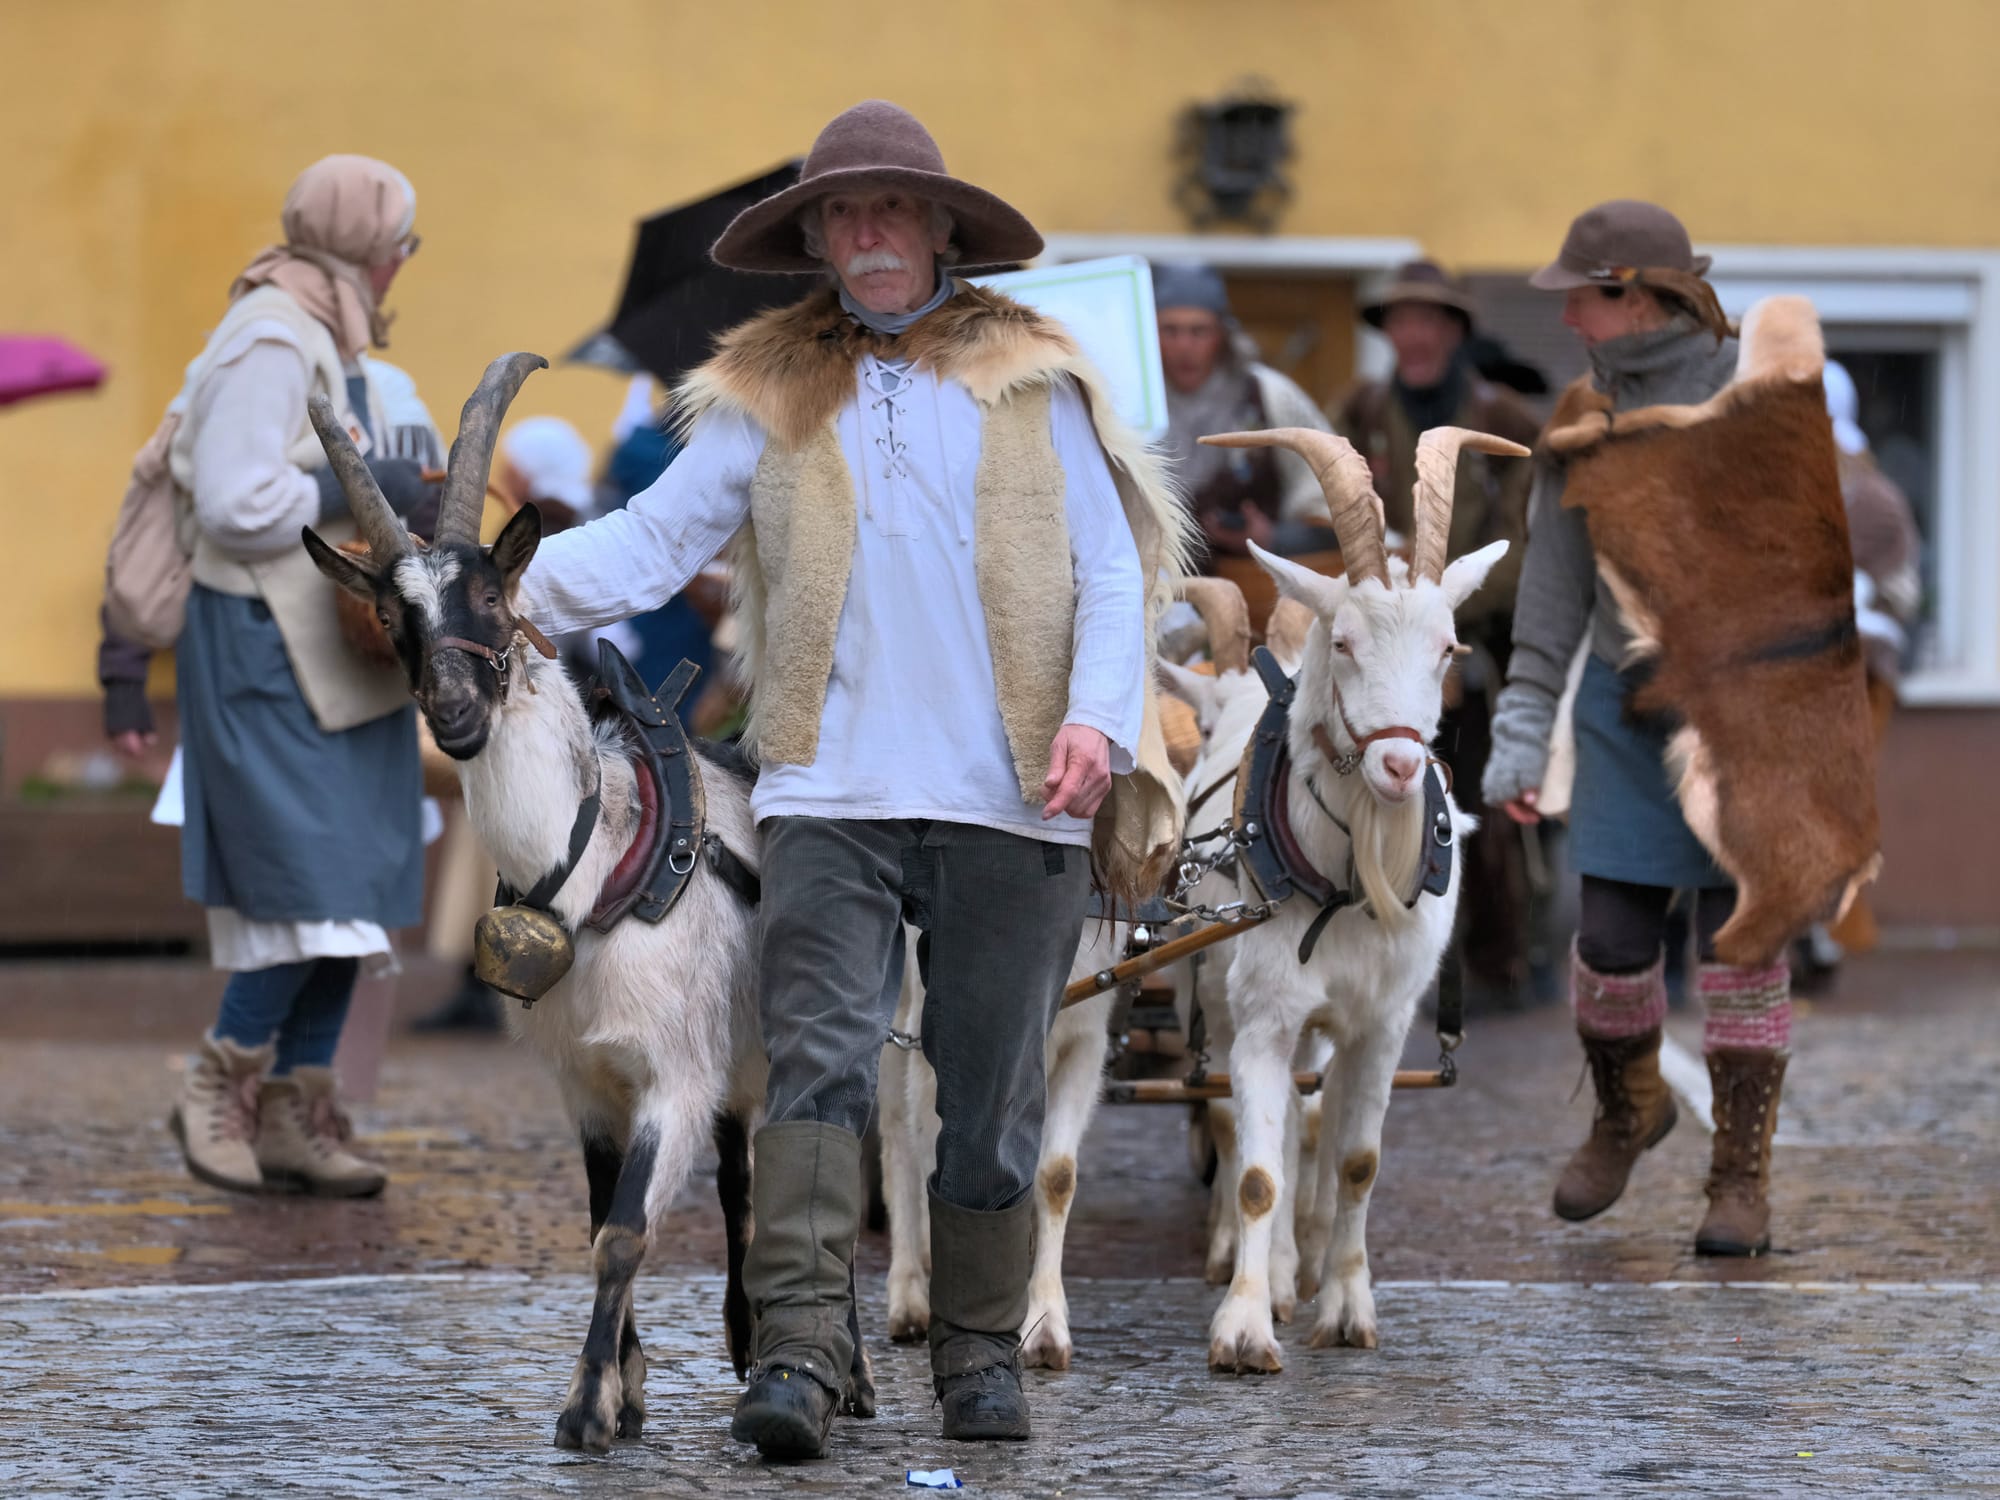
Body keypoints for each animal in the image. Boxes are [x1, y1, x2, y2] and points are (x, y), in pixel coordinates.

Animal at [300, 354, 872, 1453]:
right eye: (393, 618)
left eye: (491, 592)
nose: (455, 714)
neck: (594, 869)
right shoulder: (587, 1082)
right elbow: (600, 1219)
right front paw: (627, 1392)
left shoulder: (671, 1077)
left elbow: (625, 1233)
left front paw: (585, 1409)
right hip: (741, 1062)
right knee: (746, 1179)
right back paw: (753, 1344)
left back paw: (854, 1373)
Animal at [1195, 425, 1523, 1373]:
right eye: (1343, 642)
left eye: (1448, 648)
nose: (1403, 764)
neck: (1345, 885)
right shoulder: (1265, 1015)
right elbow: (1258, 1172)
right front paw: (1244, 1328)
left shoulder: (1384, 1022)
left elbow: (1355, 1164)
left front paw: (1345, 1309)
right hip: (1218, 999)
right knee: (1243, 1128)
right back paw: (1262, 1268)